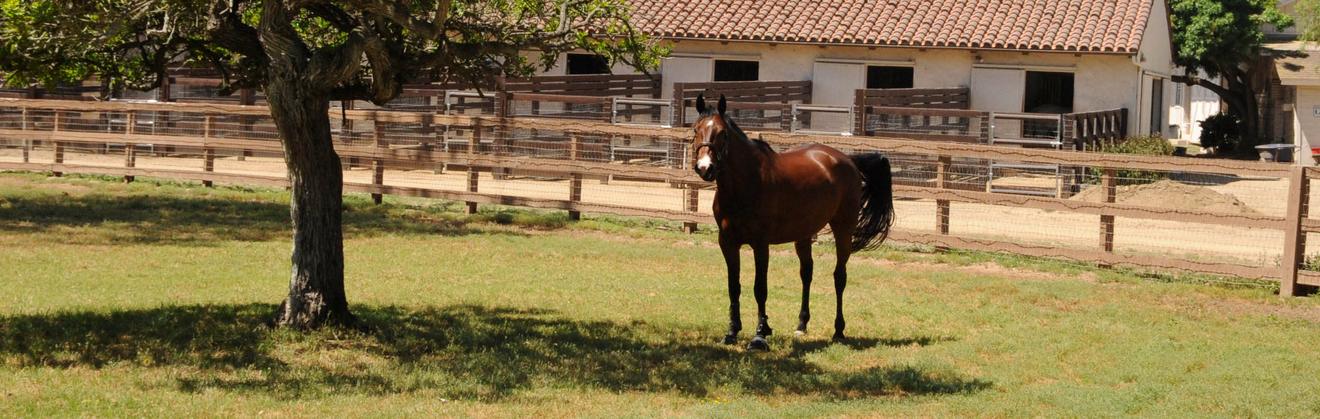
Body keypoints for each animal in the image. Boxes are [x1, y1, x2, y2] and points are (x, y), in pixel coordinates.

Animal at [690, 94, 894, 351]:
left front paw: (760, 334)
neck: (746, 184)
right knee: (807, 273)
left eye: (722, 133)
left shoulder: (760, 244)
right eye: (695, 129)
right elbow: (733, 286)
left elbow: (760, 288)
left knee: (839, 277)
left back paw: (839, 331)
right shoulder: (727, 242)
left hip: (843, 230)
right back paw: (801, 325)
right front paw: (732, 331)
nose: (705, 168)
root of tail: (847, 159)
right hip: (804, 234)